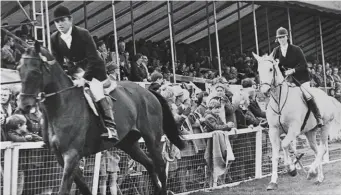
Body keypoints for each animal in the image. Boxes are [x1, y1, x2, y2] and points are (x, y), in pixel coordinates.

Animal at [16, 42, 183, 194]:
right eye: (19, 69)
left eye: (35, 72)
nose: (24, 105)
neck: (62, 105)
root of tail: (148, 92)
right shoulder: (61, 157)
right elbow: (83, 187)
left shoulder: (72, 155)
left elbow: (65, 189)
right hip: (128, 143)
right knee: (149, 164)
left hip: (152, 139)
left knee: (160, 167)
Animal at [252, 52, 340, 190]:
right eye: (258, 71)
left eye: (271, 69)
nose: (264, 91)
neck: (279, 102)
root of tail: (327, 96)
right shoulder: (273, 131)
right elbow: (276, 154)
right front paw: (273, 182)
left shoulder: (293, 129)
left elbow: (284, 145)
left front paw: (291, 168)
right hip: (310, 132)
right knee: (316, 150)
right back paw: (318, 177)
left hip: (325, 126)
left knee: (322, 149)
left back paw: (312, 172)